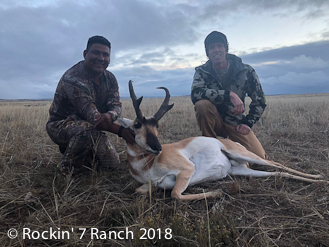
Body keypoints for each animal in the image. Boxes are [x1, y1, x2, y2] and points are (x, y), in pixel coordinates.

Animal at [117, 81, 326, 201]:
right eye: (137, 124)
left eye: (157, 126)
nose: (158, 148)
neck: (147, 165)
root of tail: (230, 143)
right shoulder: (151, 185)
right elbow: (140, 190)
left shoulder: (186, 170)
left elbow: (176, 195)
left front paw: (218, 192)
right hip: (240, 170)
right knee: (278, 173)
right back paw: (319, 179)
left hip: (245, 155)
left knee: (277, 164)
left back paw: (320, 177)